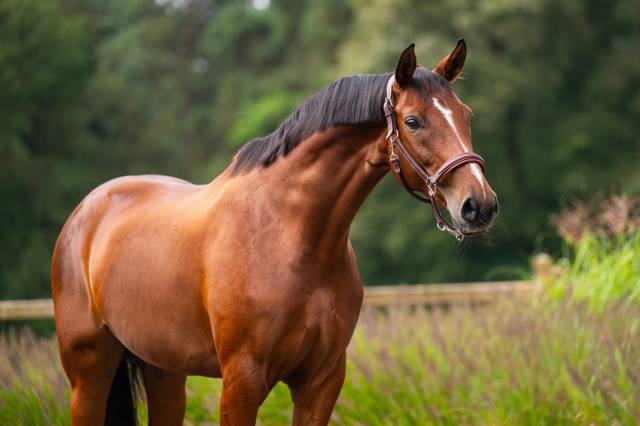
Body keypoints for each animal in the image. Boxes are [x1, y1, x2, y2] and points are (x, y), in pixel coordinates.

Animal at [52, 40, 498, 426]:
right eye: (413, 121)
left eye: (468, 116)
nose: (479, 205)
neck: (290, 236)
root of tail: (86, 213)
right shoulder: (242, 380)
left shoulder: (321, 381)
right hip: (88, 375)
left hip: (164, 371)